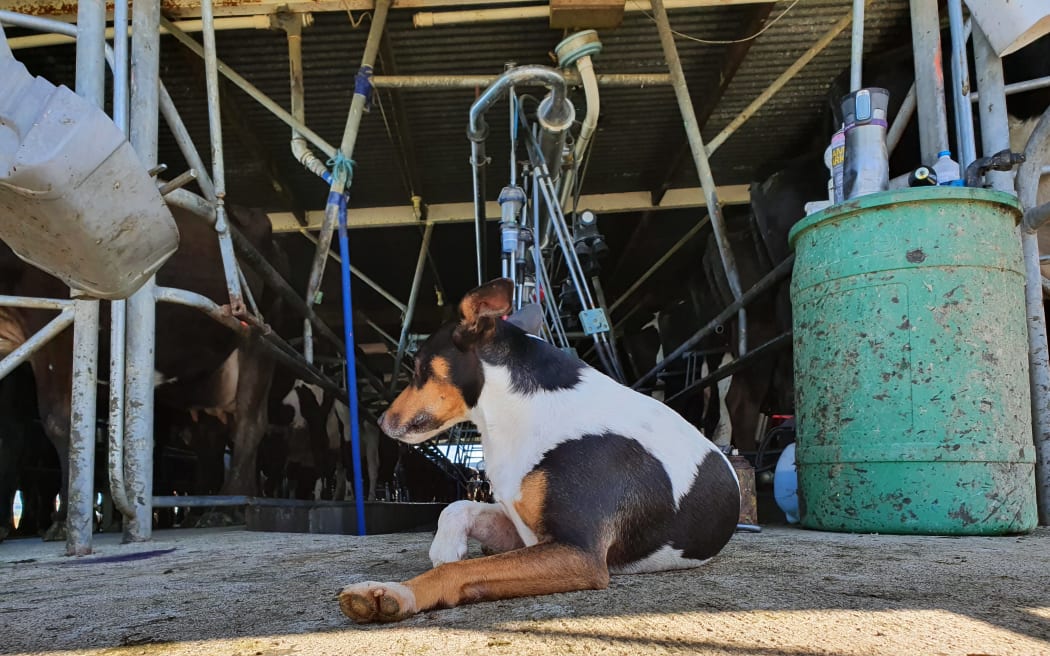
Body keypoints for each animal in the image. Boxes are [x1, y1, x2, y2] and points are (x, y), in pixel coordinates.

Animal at [338, 279, 739, 621]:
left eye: (419, 368)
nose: (381, 420)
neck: (520, 408)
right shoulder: (521, 524)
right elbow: (457, 507)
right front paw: (446, 545)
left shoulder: (579, 553)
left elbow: (458, 569)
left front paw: (392, 592)